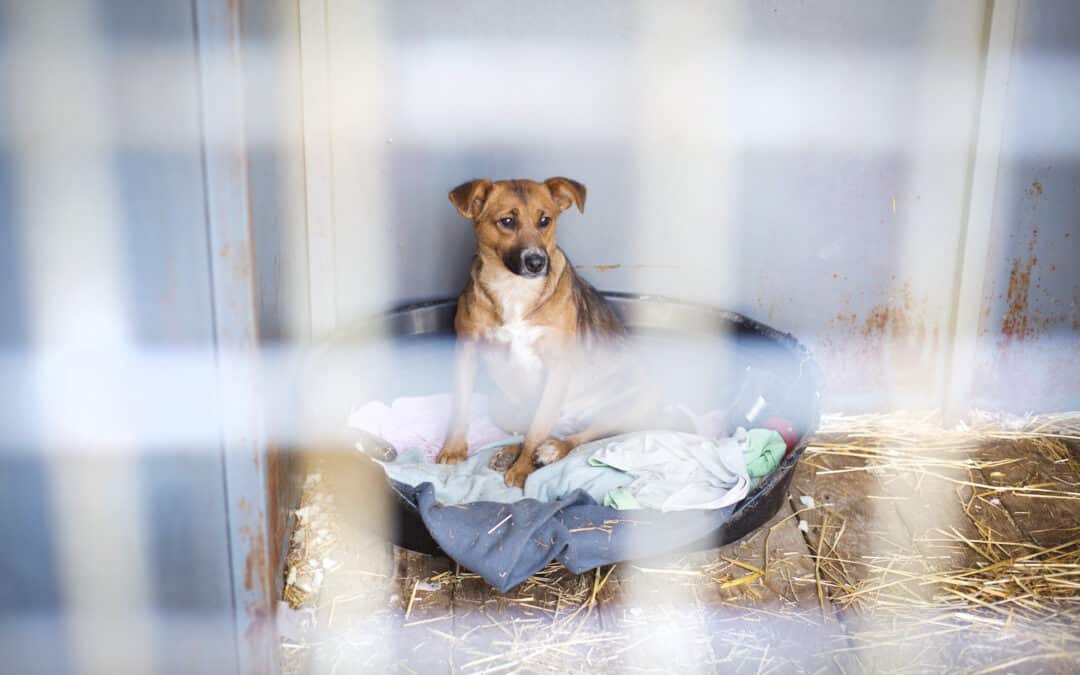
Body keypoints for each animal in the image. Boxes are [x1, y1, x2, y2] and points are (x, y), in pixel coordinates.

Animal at [432, 176, 673, 486]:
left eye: (545, 220)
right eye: (507, 221)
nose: (537, 262)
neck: (515, 290)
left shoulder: (558, 364)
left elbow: (538, 428)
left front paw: (523, 471)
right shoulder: (467, 350)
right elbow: (460, 405)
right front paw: (453, 449)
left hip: (635, 403)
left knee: (583, 436)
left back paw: (552, 450)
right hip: (503, 408)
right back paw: (511, 452)